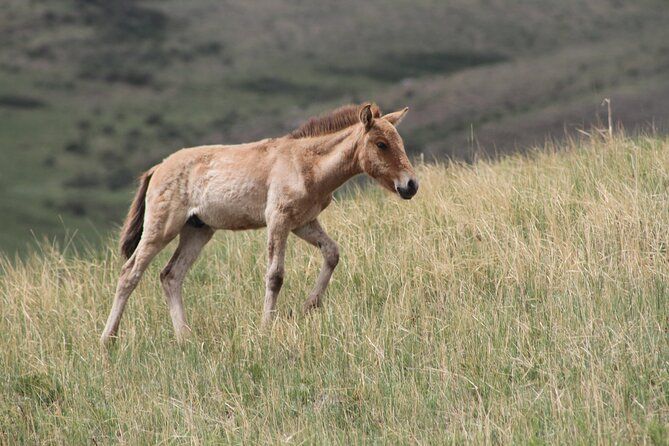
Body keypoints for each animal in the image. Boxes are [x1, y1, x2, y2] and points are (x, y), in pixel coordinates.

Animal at [100, 103, 418, 344]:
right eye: (381, 144)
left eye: (400, 142)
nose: (411, 185)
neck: (306, 164)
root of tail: (157, 169)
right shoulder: (278, 219)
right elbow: (275, 275)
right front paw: (267, 325)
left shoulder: (303, 223)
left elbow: (332, 253)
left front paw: (308, 306)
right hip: (161, 228)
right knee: (130, 273)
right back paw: (108, 340)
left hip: (197, 231)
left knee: (171, 275)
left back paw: (185, 337)